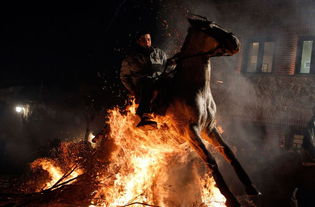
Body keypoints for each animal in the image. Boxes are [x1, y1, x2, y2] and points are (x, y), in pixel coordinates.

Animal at [153, 16, 262, 207]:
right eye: (209, 27)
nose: (235, 41)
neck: (195, 90)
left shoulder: (209, 128)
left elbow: (228, 152)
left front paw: (251, 188)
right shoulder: (190, 131)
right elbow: (211, 160)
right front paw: (231, 198)